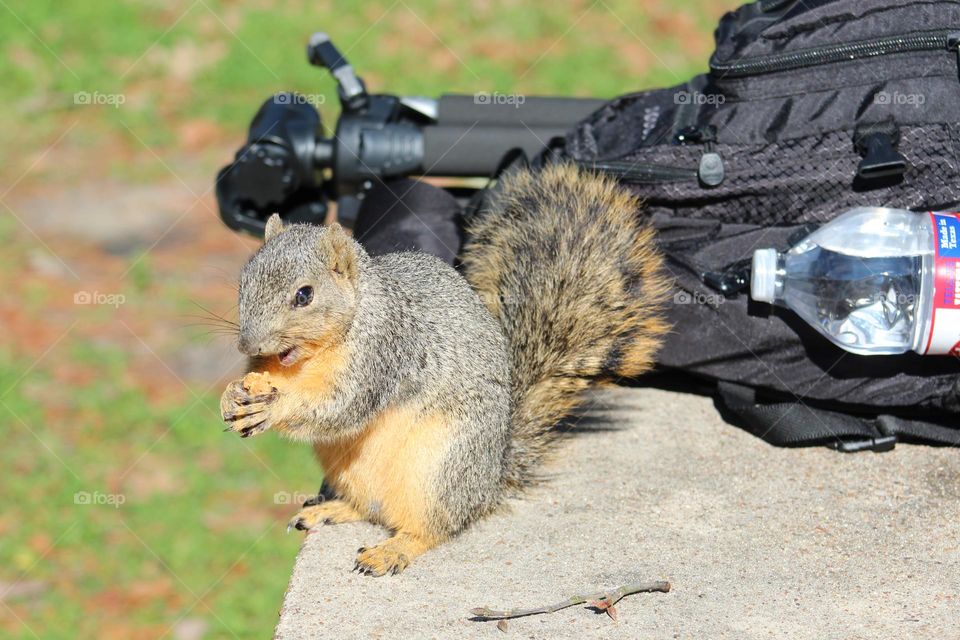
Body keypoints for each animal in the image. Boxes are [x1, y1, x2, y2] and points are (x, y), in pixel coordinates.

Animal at [220, 163, 671, 576]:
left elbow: (342, 406)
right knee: (370, 509)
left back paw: (392, 551)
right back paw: (330, 510)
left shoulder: (386, 352)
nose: (249, 344)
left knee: (431, 528)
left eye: (304, 295)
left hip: (439, 469)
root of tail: (489, 482)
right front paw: (232, 395)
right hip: (352, 470)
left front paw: (273, 407)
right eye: (243, 282)